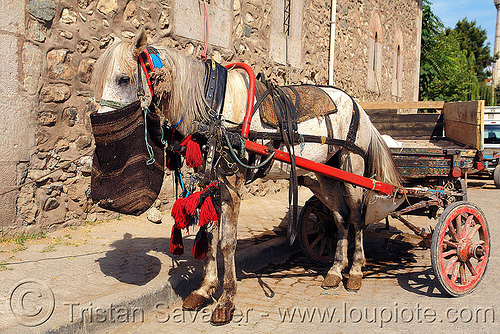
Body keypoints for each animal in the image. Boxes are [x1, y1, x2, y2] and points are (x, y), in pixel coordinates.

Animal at [91, 30, 402, 324]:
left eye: (123, 79)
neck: (213, 106)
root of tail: (359, 107)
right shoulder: (211, 180)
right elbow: (210, 236)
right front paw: (204, 290)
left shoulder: (232, 182)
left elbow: (227, 242)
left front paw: (226, 301)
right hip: (323, 176)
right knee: (338, 217)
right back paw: (336, 270)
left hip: (352, 170)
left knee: (356, 217)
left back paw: (356, 271)